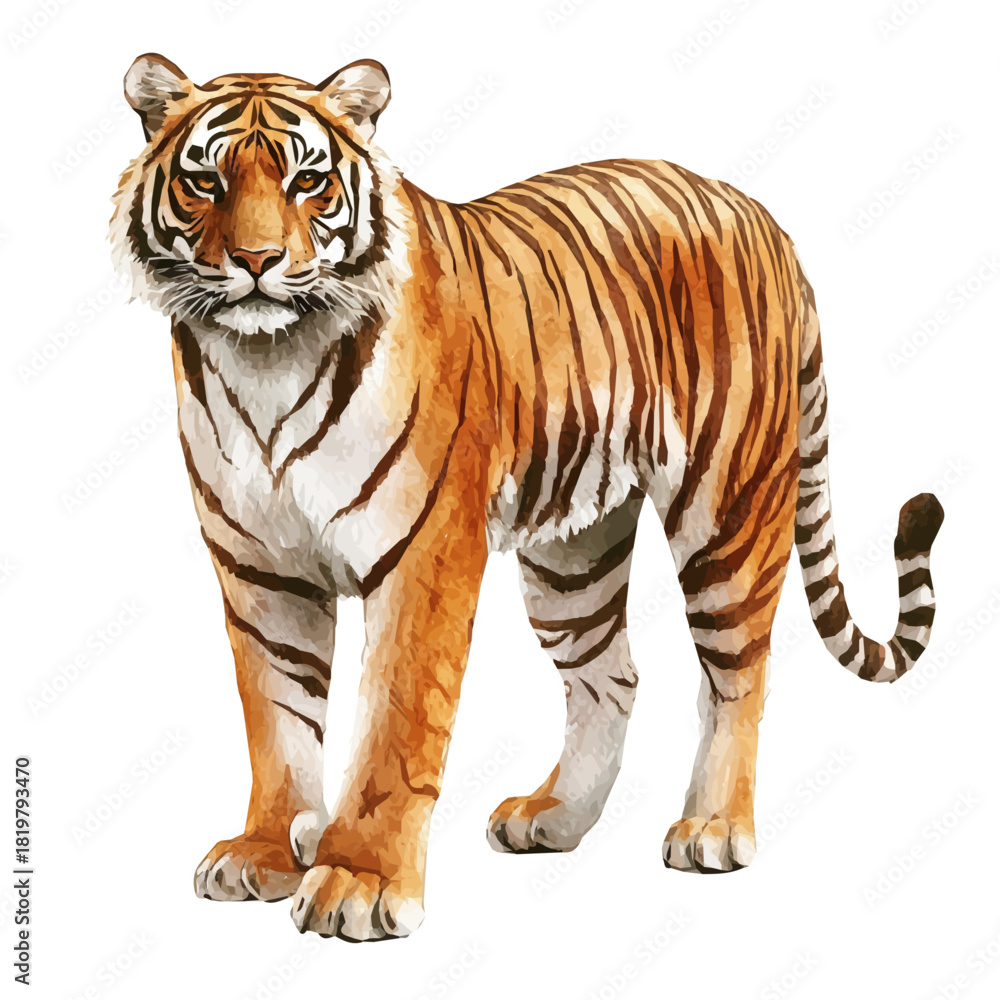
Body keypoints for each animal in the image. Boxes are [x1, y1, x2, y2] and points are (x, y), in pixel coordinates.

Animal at [110, 54, 944, 942]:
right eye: (205, 180)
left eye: (309, 181)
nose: (258, 260)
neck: (266, 362)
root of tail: (756, 212)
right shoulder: (261, 568)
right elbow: (275, 717)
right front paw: (265, 852)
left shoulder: (424, 550)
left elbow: (397, 724)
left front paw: (360, 882)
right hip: (571, 555)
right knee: (612, 676)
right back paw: (555, 818)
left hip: (729, 509)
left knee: (736, 676)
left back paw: (713, 828)